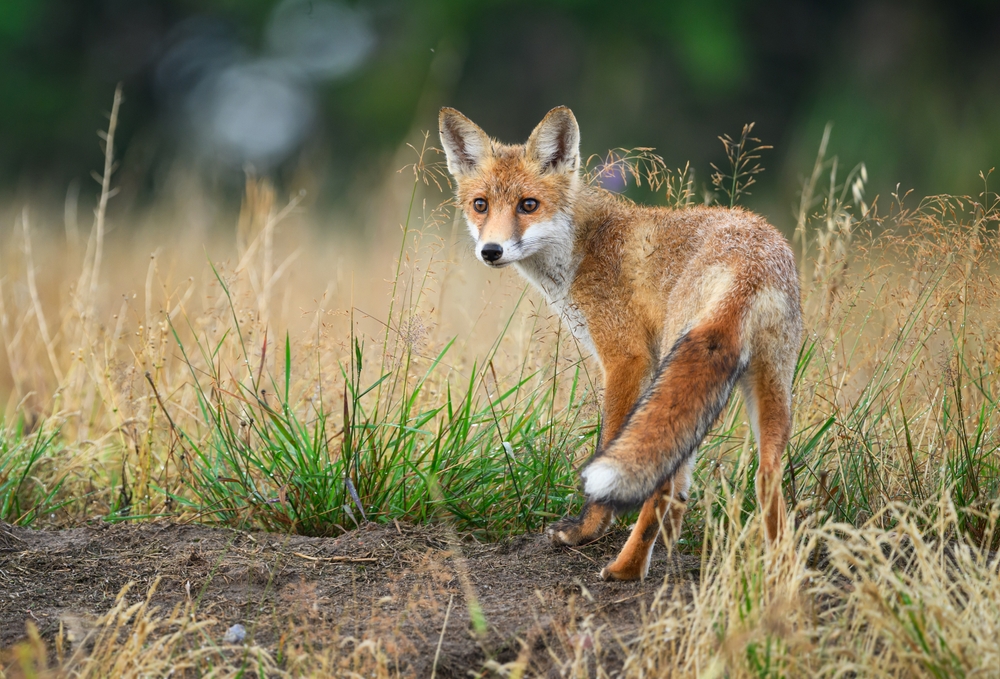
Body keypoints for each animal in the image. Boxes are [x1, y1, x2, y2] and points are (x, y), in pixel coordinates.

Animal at [439, 106, 802, 581]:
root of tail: (749, 269)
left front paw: (588, 529)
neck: (583, 246)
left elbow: (608, 441)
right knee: (762, 477)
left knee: (662, 484)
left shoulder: (626, 358)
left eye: (528, 205)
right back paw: (779, 573)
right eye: (480, 205)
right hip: (764, 388)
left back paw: (625, 569)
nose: (492, 251)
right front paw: (671, 540)